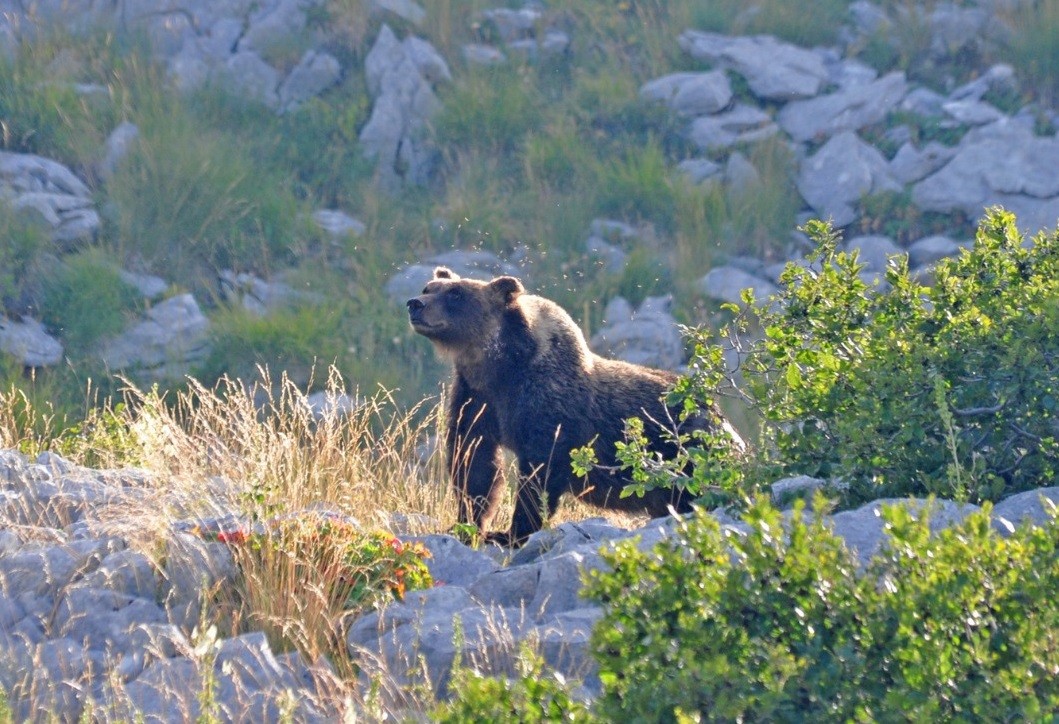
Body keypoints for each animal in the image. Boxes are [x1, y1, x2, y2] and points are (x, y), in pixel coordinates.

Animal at [404, 268, 745, 546]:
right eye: (428, 287)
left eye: (456, 293)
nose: (415, 304)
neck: (500, 368)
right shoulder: (476, 399)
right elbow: (474, 462)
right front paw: (467, 524)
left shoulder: (546, 405)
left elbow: (540, 472)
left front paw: (510, 532)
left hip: (689, 449)